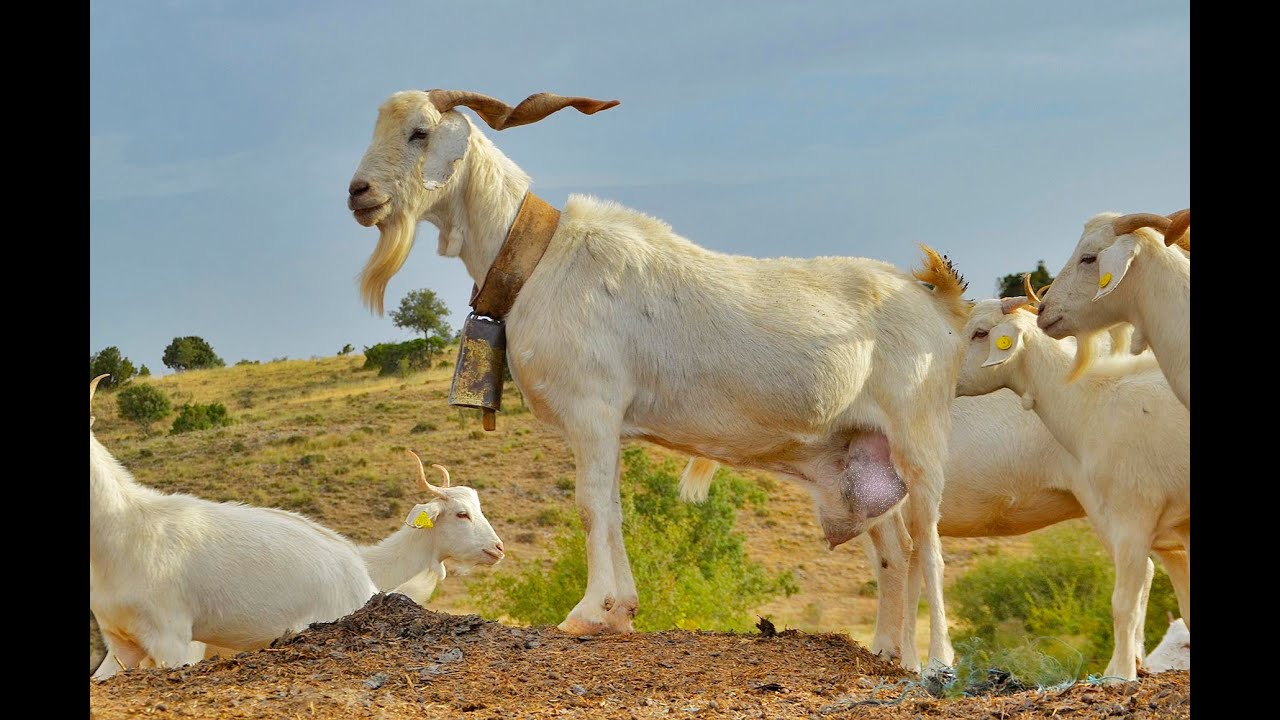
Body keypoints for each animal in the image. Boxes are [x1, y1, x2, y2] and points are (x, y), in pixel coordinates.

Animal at [346, 89, 971, 666]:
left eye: (419, 132)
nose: (359, 193)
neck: (542, 259)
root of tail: (937, 305)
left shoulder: (593, 409)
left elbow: (591, 505)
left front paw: (587, 612)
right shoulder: (607, 424)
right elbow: (613, 506)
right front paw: (620, 611)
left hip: (918, 439)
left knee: (929, 546)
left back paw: (937, 662)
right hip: (864, 456)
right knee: (894, 552)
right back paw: (890, 654)